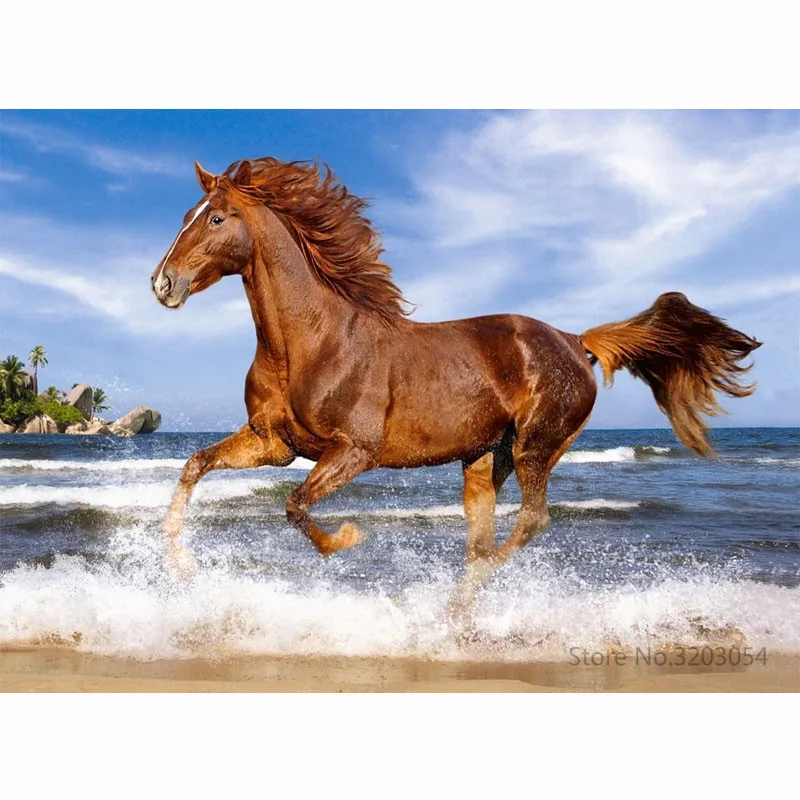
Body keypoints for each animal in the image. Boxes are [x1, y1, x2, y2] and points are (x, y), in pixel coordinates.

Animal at [151, 156, 761, 590]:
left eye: (216, 217)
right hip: (486, 459)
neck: (311, 341)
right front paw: (177, 562)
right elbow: (194, 466)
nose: (162, 284)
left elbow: (296, 505)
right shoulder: (272, 444)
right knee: (484, 536)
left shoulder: (354, 451)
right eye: (183, 217)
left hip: (536, 447)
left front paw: (346, 539)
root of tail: (573, 340)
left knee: (530, 523)